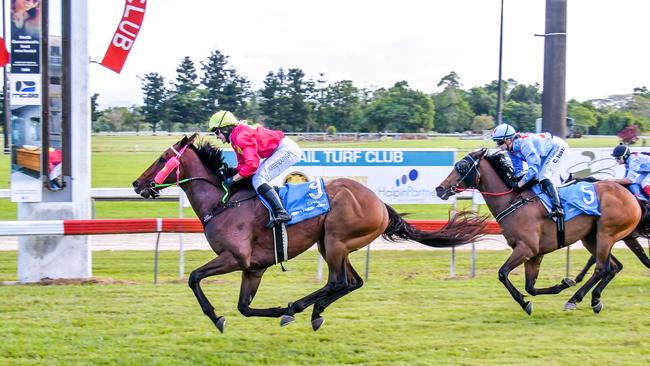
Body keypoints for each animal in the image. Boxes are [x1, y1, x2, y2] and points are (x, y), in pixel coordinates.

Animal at [133, 134, 486, 332]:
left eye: (163, 159)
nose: (137, 184)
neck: (222, 203)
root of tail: (381, 204)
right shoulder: (254, 268)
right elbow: (244, 306)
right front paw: (261, 313)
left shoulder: (235, 257)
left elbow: (194, 277)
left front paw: (219, 317)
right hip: (335, 245)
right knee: (352, 282)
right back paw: (313, 311)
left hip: (334, 240)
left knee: (337, 282)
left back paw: (299, 308)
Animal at [430, 149, 648, 314]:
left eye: (461, 166)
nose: (440, 188)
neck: (513, 202)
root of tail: (630, 195)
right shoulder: (534, 254)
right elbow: (531, 287)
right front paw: (560, 285)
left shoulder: (526, 248)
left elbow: (503, 274)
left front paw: (525, 302)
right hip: (592, 238)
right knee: (612, 267)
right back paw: (593, 299)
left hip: (606, 234)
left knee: (602, 268)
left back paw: (576, 299)